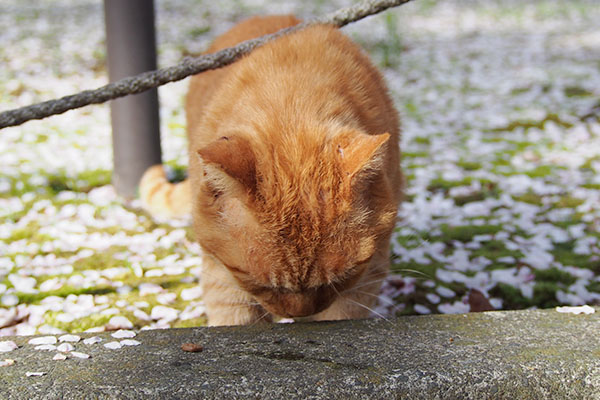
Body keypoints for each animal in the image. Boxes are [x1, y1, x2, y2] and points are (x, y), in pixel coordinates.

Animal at [141, 15, 404, 324]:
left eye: (337, 280)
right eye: (265, 285)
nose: (300, 314)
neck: (294, 107)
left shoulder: (368, 272)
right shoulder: (222, 275)